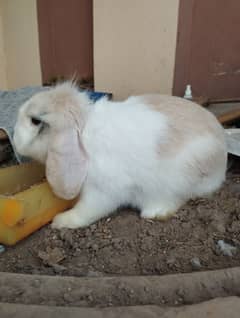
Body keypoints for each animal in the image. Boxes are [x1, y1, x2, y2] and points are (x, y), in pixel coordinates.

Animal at [13, 82, 227, 229]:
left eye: (35, 121)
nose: (15, 140)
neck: (82, 131)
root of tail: (221, 168)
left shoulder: (102, 190)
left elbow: (87, 210)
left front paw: (61, 221)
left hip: (180, 177)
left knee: (177, 197)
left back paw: (155, 212)